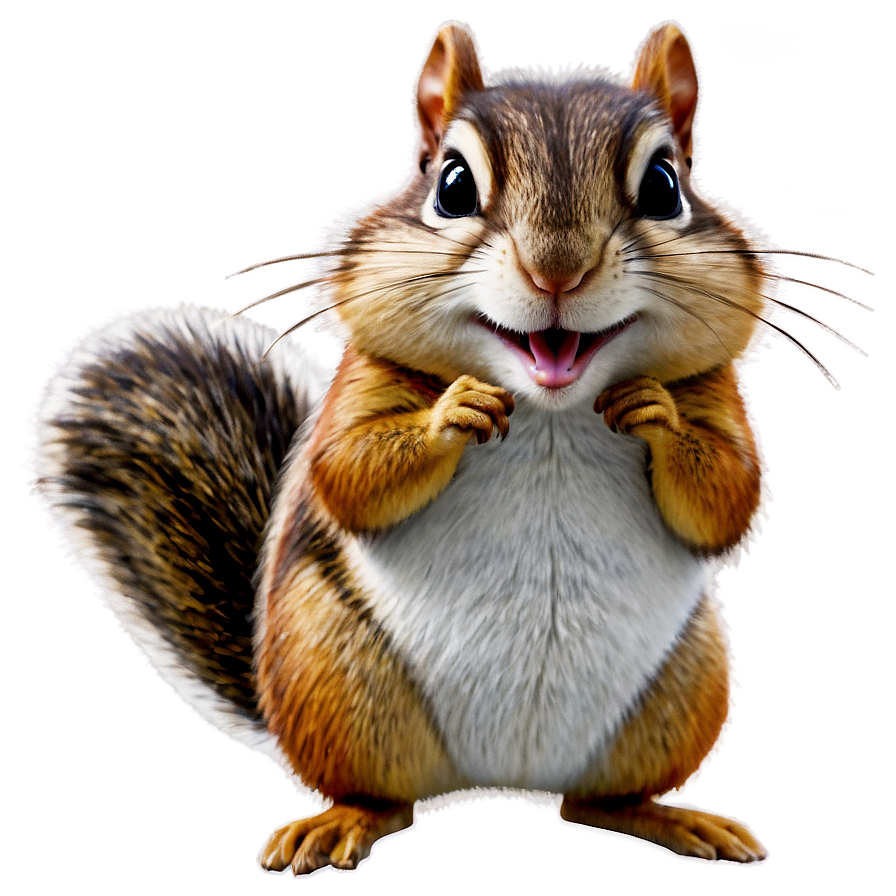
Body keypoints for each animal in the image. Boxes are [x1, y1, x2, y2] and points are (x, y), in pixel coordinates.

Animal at [29, 20, 788, 874]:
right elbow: (347, 474)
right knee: (384, 796)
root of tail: (503, 778)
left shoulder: (717, 392)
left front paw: (654, 410)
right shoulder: (360, 380)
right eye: (451, 186)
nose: (555, 270)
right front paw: (455, 410)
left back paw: (670, 817)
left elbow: (729, 496)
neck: (551, 411)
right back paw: (341, 822)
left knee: (595, 801)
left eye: (665, 187)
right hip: (334, 677)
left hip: (686, 691)